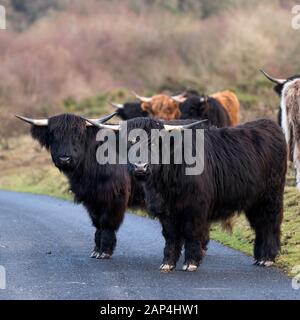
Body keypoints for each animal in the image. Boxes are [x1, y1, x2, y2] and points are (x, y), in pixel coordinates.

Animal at [16, 114, 145, 258]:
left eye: (78, 136)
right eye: (53, 135)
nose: (64, 159)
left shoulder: (114, 197)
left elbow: (107, 222)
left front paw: (105, 251)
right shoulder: (91, 199)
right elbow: (97, 223)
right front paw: (96, 250)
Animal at [105, 117, 286, 272]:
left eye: (155, 142)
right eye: (129, 142)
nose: (140, 167)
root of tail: (270, 125)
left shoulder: (195, 208)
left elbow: (192, 232)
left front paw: (191, 263)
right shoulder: (166, 210)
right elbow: (170, 235)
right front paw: (167, 263)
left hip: (270, 197)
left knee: (269, 223)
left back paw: (267, 258)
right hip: (254, 202)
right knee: (260, 225)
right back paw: (259, 257)